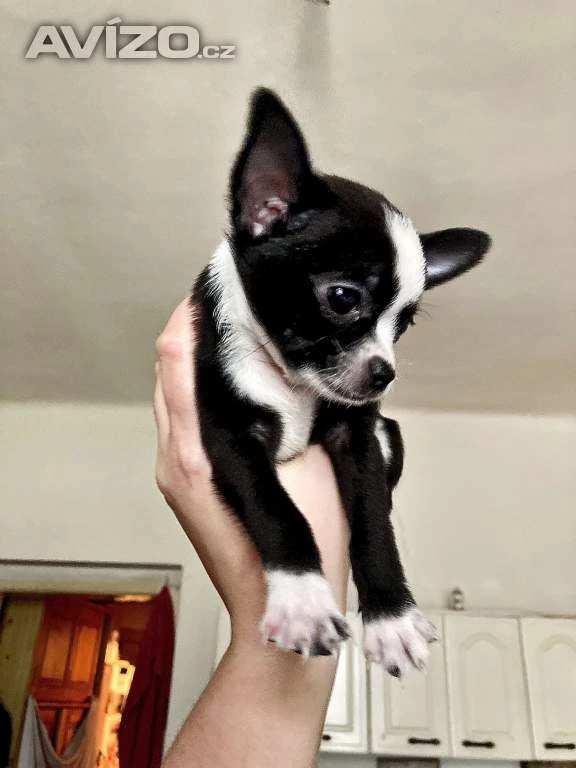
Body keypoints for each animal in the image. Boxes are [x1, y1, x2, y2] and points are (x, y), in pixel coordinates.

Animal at [192, 88, 490, 675]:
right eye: (343, 298)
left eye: (405, 325)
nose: (384, 372)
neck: (289, 381)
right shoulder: (231, 438)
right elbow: (276, 509)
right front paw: (302, 600)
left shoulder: (360, 437)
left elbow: (374, 521)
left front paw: (391, 618)